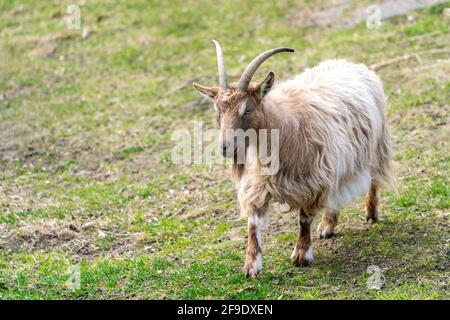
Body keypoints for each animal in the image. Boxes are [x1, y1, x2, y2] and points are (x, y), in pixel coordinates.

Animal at [192, 40, 392, 278]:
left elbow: (304, 219)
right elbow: (253, 223)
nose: (225, 147)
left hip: (375, 145)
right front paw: (251, 265)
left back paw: (371, 212)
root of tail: (350, 64)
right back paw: (327, 225)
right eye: (218, 111)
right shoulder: (258, 184)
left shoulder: (311, 180)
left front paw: (301, 255)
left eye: (246, 110)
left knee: (373, 178)